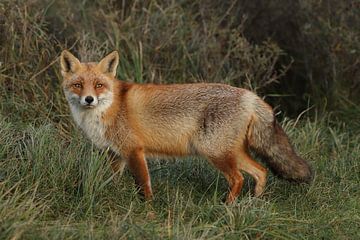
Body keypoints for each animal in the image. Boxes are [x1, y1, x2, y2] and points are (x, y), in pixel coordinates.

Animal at [59, 49, 312, 203]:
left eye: (99, 85)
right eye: (78, 85)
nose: (88, 99)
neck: (109, 109)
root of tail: (249, 95)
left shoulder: (134, 151)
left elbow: (143, 185)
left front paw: (147, 210)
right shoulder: (116, 154)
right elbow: (112, 180)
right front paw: (110, 193)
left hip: (214, 151)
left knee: (239, 178)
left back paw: (227, 206)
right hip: (232, 152)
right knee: (261, 171)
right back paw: (254, 201)